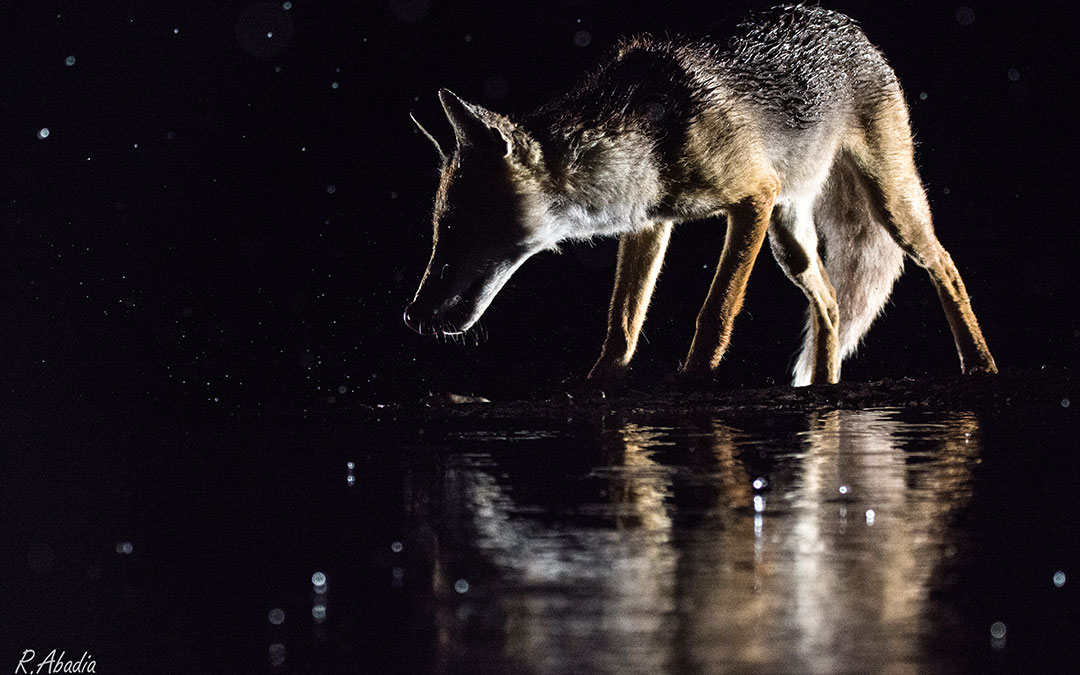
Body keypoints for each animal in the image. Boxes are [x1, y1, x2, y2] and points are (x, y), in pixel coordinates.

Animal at [403, 5, 997, 387]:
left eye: (455, 229)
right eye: (438, 232)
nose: (412, 316)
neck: (647, 142)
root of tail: (850, 28)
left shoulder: (752, 199)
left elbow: (716, 310)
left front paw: (694, 379)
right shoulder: (651, 224)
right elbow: (623, 323)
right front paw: (601, 383)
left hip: (887, 208)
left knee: (945, 266)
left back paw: (978, 365)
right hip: (791, 243)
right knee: (829, 301)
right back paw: (824, 387)